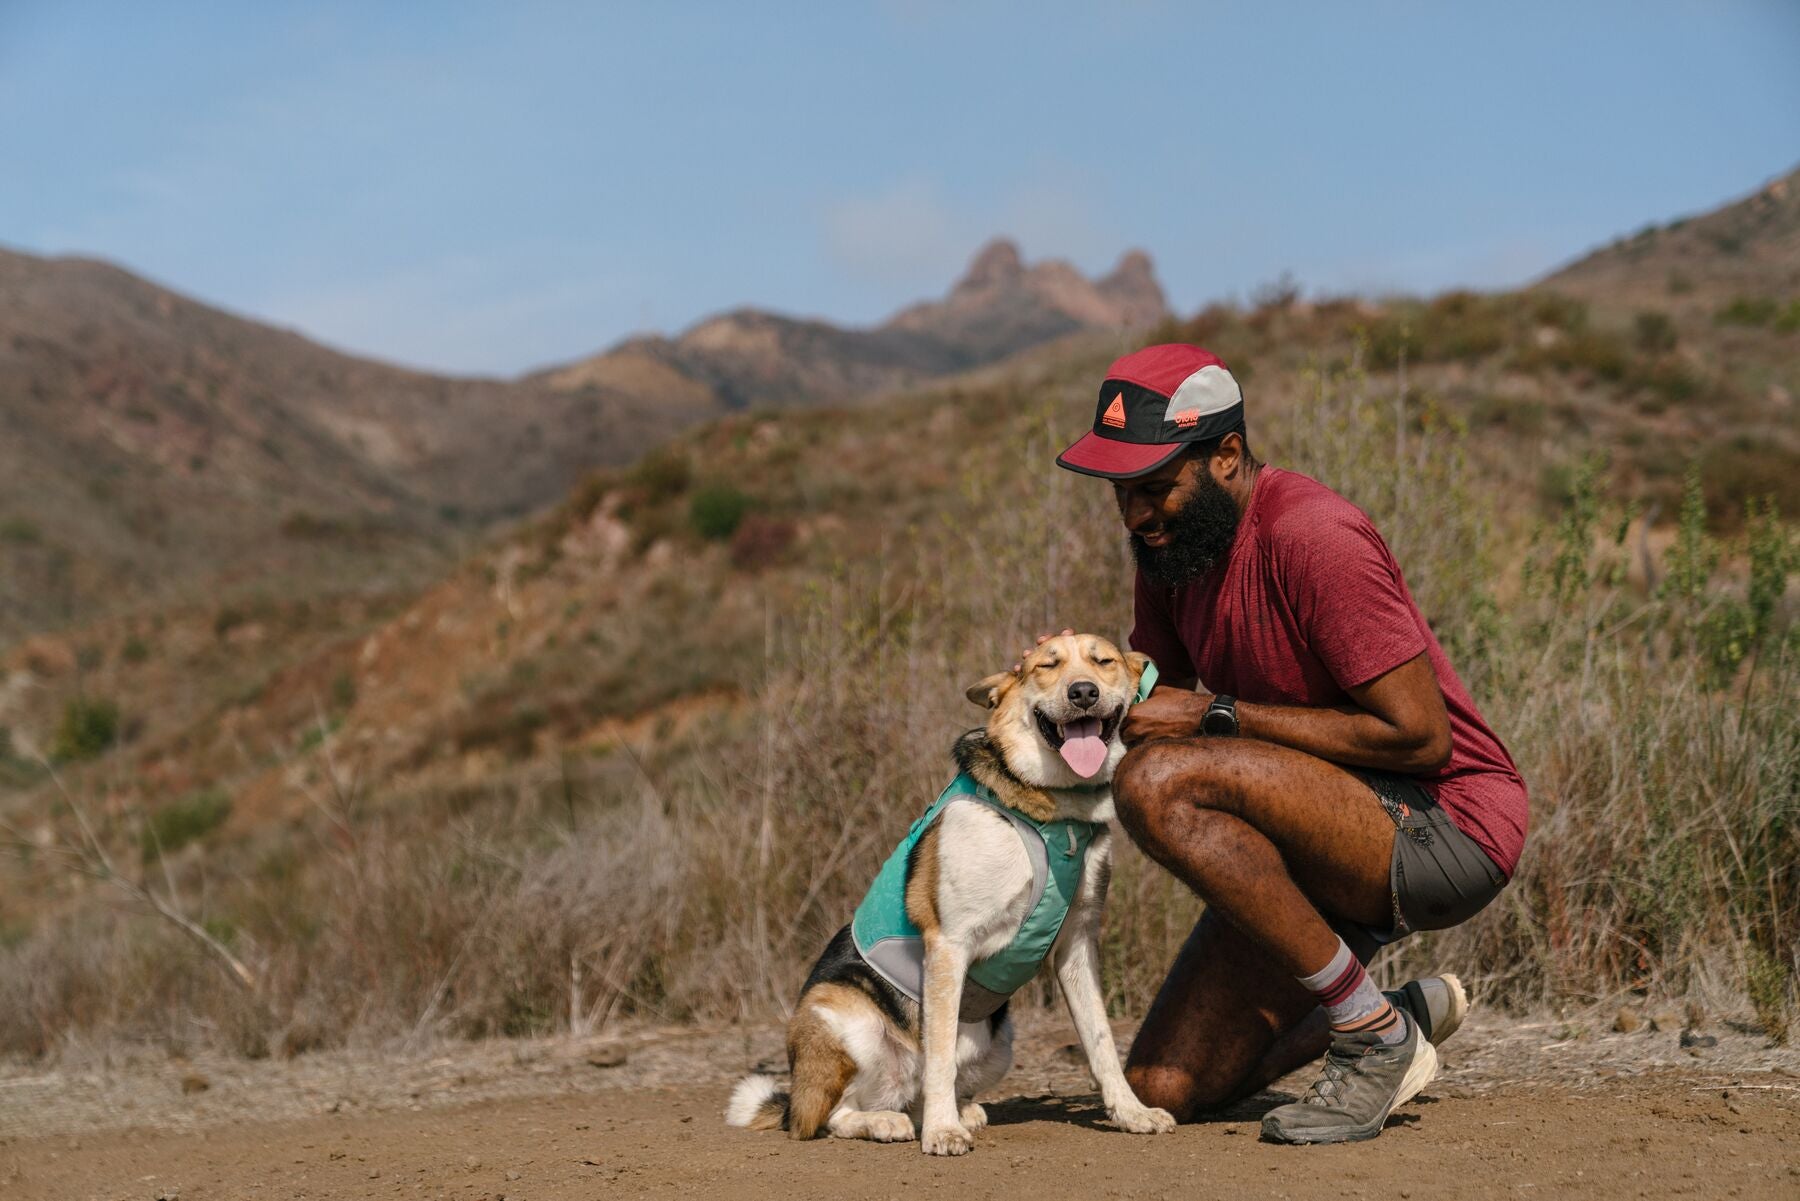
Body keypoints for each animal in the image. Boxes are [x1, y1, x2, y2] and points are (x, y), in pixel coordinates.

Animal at [730, 637, 1180, 1152]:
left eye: (1103, 661)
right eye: (1046, 666)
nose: (1083, 693)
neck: (1055, 810)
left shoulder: (1077, 946)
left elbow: (1101, 1041)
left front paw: (1130, 1113)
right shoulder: (949, 944)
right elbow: (940, 1054)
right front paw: (942, 1132)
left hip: (999, 1044)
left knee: (912, 1095)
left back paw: (955, 1113)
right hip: (844, 1016)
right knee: (830, 1116)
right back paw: (889, 1122)